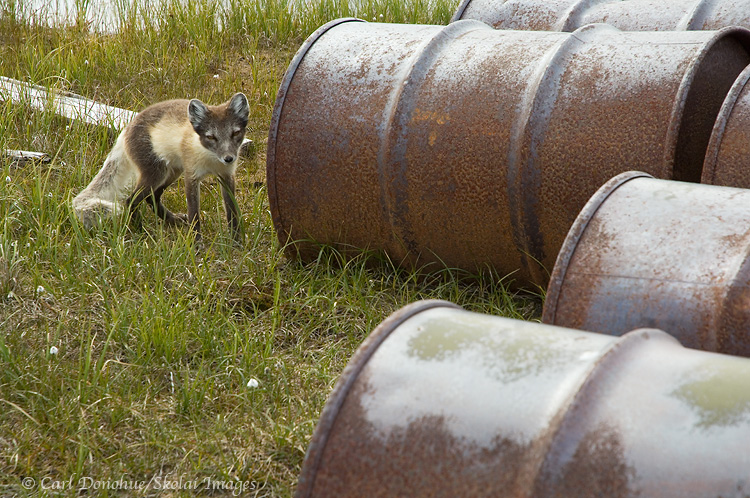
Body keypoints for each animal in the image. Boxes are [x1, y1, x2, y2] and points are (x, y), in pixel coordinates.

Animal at [72, 92, 250, 245]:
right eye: (211, 137)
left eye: (235, 133)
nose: (228, 158)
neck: (211, 160)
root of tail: (126, 129)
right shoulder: (191, 176)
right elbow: (194, 215)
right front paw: (197, 244)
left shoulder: (227, 176)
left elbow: (232, 211)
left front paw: (236, 241)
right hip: (156, 173)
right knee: (131, 200)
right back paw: (141, 231)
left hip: (172, 173)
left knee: (153, 197)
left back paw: (172, 220)